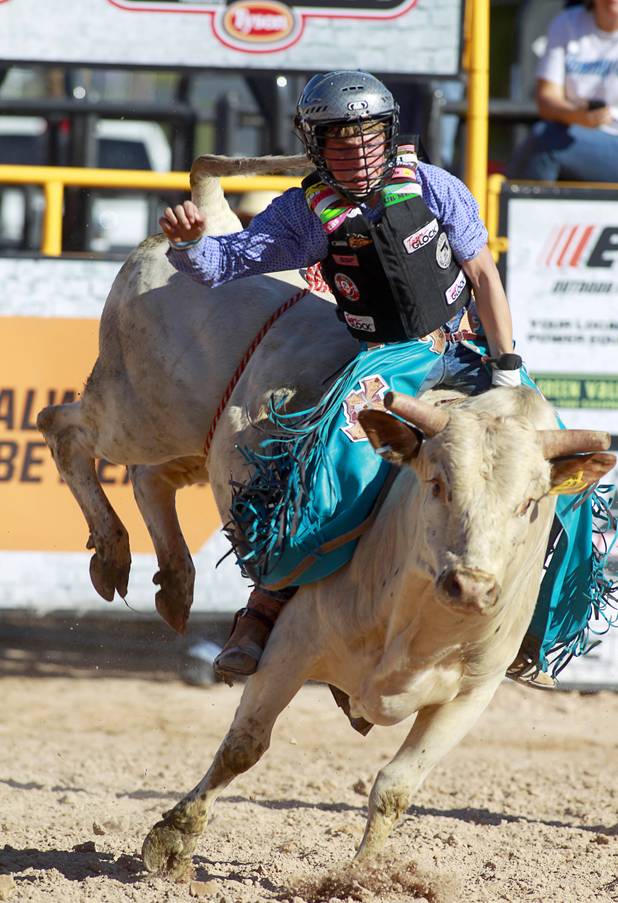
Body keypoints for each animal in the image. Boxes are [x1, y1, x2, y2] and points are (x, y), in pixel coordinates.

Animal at [36, 155, 615, 878]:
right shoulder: (295, 643)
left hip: (195, 442)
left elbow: (396, 787)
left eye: (532, 503)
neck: (417, 624)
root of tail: (215, 214)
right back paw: (113, 553)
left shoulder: (470, 695)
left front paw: (360, 875)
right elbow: (244, 744)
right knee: (64, 429)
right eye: (435, 482)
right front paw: (173, 838)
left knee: (150, 480)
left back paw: (174, 583)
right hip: (135, 407)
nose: (472, 585)